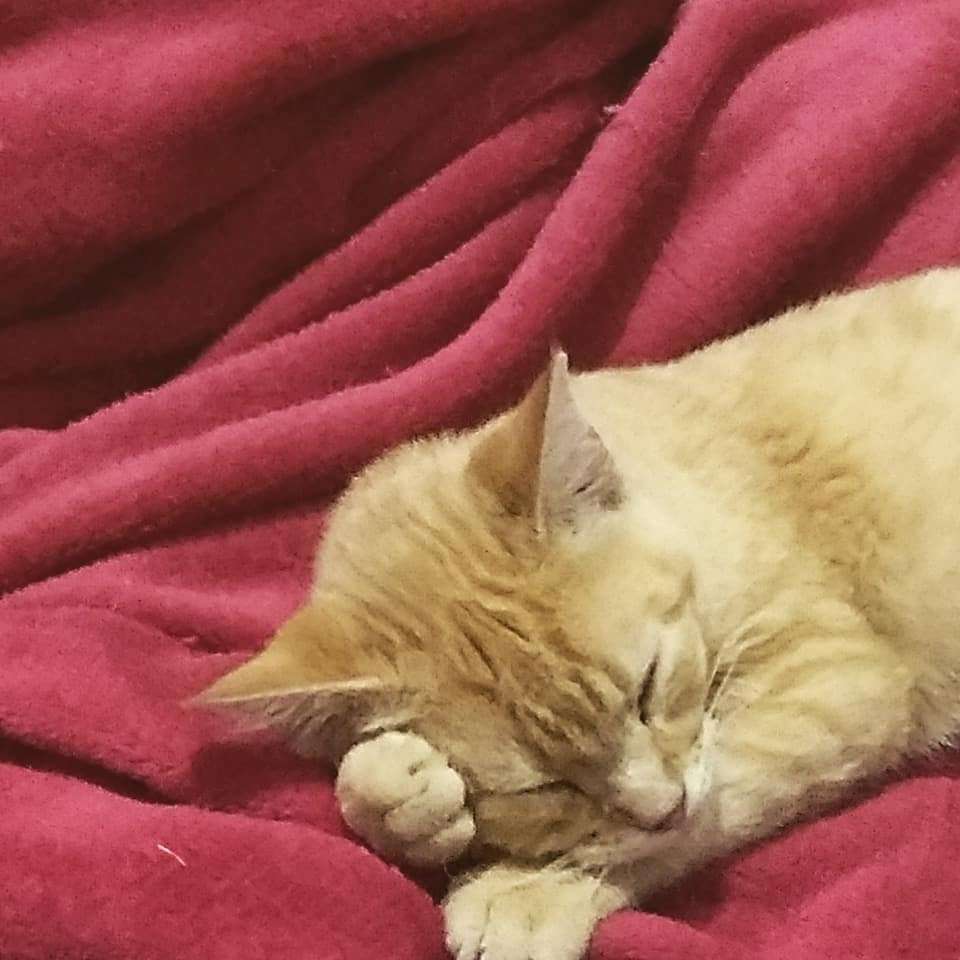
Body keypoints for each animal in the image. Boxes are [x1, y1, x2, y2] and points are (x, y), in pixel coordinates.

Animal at [200, 265, 960, 960]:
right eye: (545, 785)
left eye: (649, 686)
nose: (665, 807)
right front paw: (395, 797)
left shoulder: (839, 679)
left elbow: (710, 804)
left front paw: (529, 890)